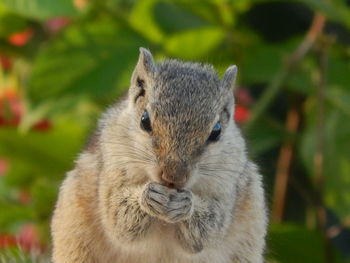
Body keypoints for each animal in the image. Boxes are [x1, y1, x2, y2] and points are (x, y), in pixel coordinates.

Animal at [50, 48, 266, 263]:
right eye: (144, 120)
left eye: (216, 132)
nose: (173, 176)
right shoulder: (111, 168)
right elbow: (118, 218)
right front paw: (148, 197)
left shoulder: (228, 185)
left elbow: (209, 228)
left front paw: (186, 205)